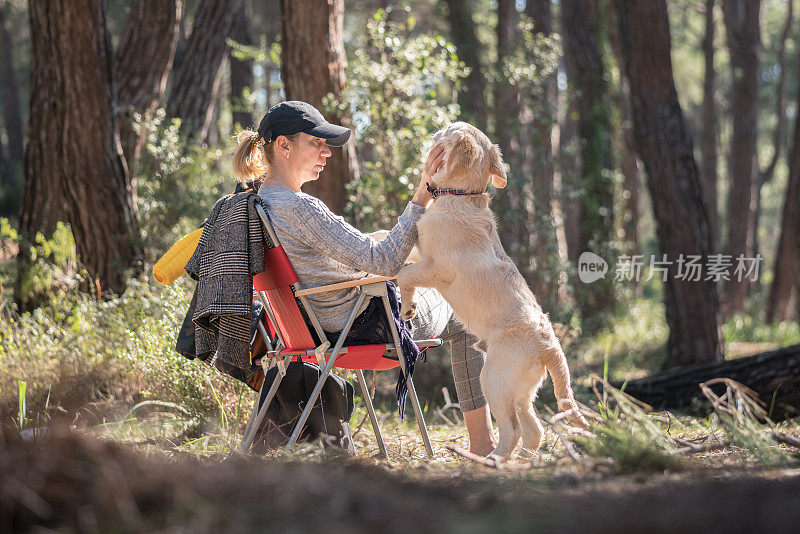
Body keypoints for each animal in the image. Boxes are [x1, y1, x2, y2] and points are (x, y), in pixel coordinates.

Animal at [396, 122, 584, 460]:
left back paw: (493, 460)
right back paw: (522, 461)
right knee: (534, 429)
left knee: (514, 429)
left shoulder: (435, 267)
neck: (459, 196)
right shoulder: (420, 250)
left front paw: (406, 307)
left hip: (494, 379)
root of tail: (550, 346)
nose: (437, 128)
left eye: (449, 129)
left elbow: (405, 273)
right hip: (519, 389)